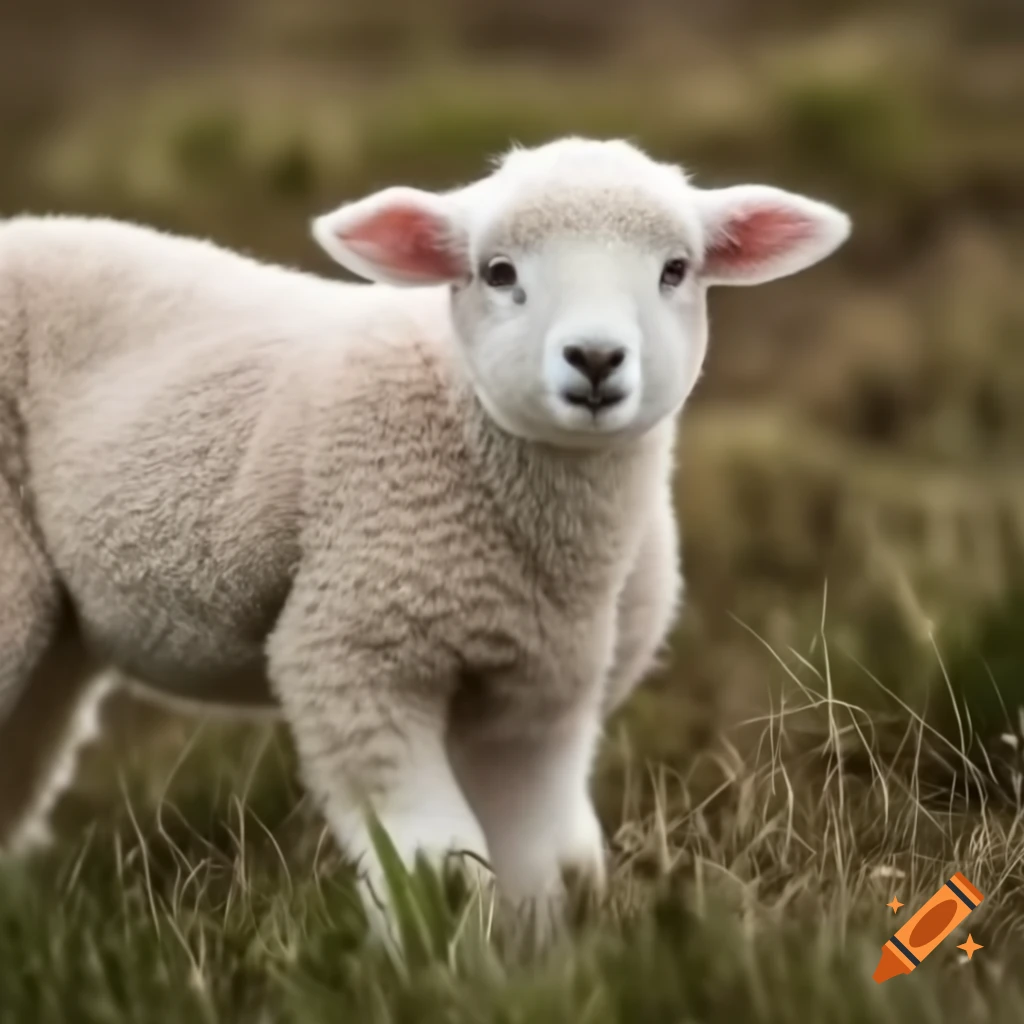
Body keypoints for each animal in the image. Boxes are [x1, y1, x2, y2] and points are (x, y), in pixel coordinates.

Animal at [0, 136, 850, 933]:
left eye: (676, 269)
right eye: (499, 272)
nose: (595, 359)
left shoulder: (543, 696)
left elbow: (549, 868)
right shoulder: (355, 656)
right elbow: (437, 870)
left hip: (57, 645)